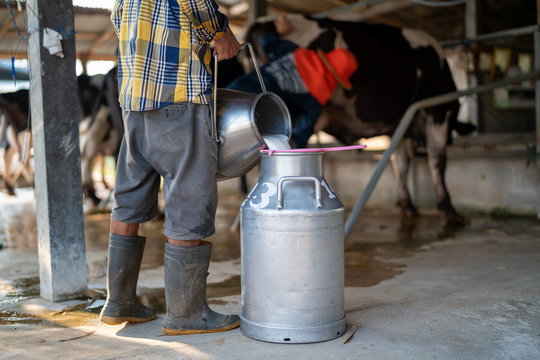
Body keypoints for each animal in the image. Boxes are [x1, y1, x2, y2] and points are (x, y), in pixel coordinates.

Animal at [247, 15, 474, 224]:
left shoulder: (400, 124)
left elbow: (401, 162)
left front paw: (407, 206)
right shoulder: (438, 110)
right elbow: (437, 159)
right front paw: (449, 209)